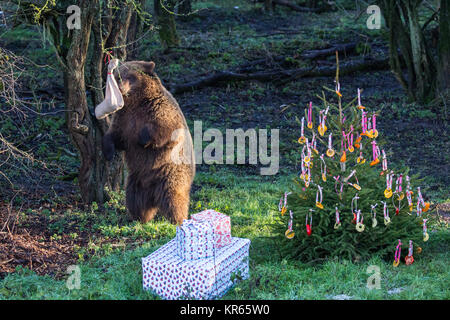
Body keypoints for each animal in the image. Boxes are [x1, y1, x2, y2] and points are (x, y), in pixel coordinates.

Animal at [101, 60, 195, 225]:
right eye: (118, 77)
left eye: (129, 76)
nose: (121, 88)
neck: (136, 102)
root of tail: (154, 196)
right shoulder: (123, 118)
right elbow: (115, 136)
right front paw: (108, 152)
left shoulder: (158, 111)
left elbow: (166, 130)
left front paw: (142, 140)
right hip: (136, 180)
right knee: (135, 200)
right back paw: (139, 218)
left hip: (170, 173)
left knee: (174, 198)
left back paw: (177, 220)